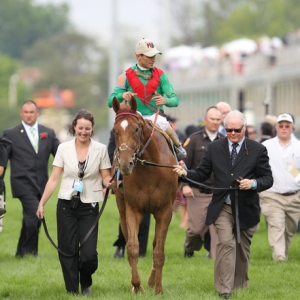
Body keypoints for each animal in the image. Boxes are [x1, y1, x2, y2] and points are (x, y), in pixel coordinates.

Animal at [111, 97, 179, 294]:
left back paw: (152, 280)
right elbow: (133, 247)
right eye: (115, 130)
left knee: (156, 243)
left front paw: (158, 289)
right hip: (121, 206)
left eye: (136, 129)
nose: (125, 164)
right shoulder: (133, 209)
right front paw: (136, 285)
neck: (149, 169)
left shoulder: (165, 211)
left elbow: (159, 250)